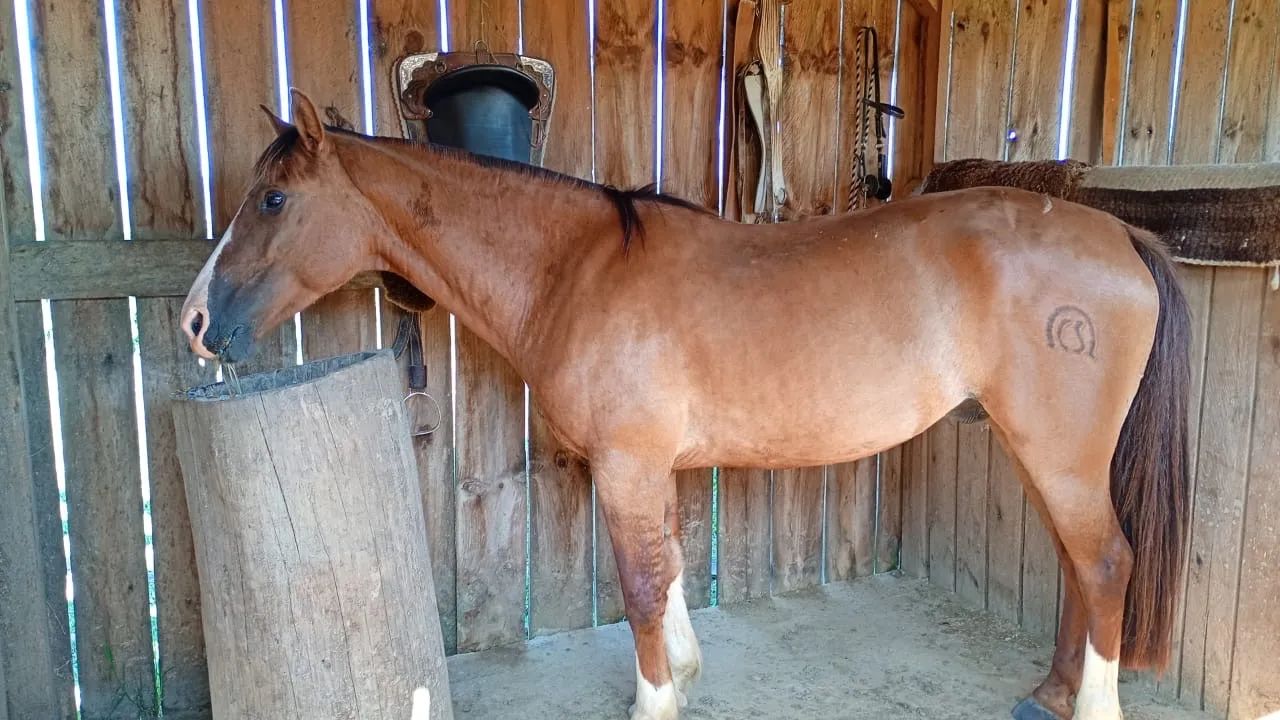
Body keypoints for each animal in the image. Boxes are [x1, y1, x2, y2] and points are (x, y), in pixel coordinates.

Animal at [179, 90, 1190, 720]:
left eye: (273, 199)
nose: (194, 322)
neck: (576, 270)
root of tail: (1119, 233)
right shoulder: (648, 468)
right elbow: (663, 570)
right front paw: (686, 675)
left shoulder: (626, 464)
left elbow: (637, 584)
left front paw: (654, 698)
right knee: (1079, 566)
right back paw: (1049, 693)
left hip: (1059, 453)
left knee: (1104, 563)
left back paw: (1088, 704)